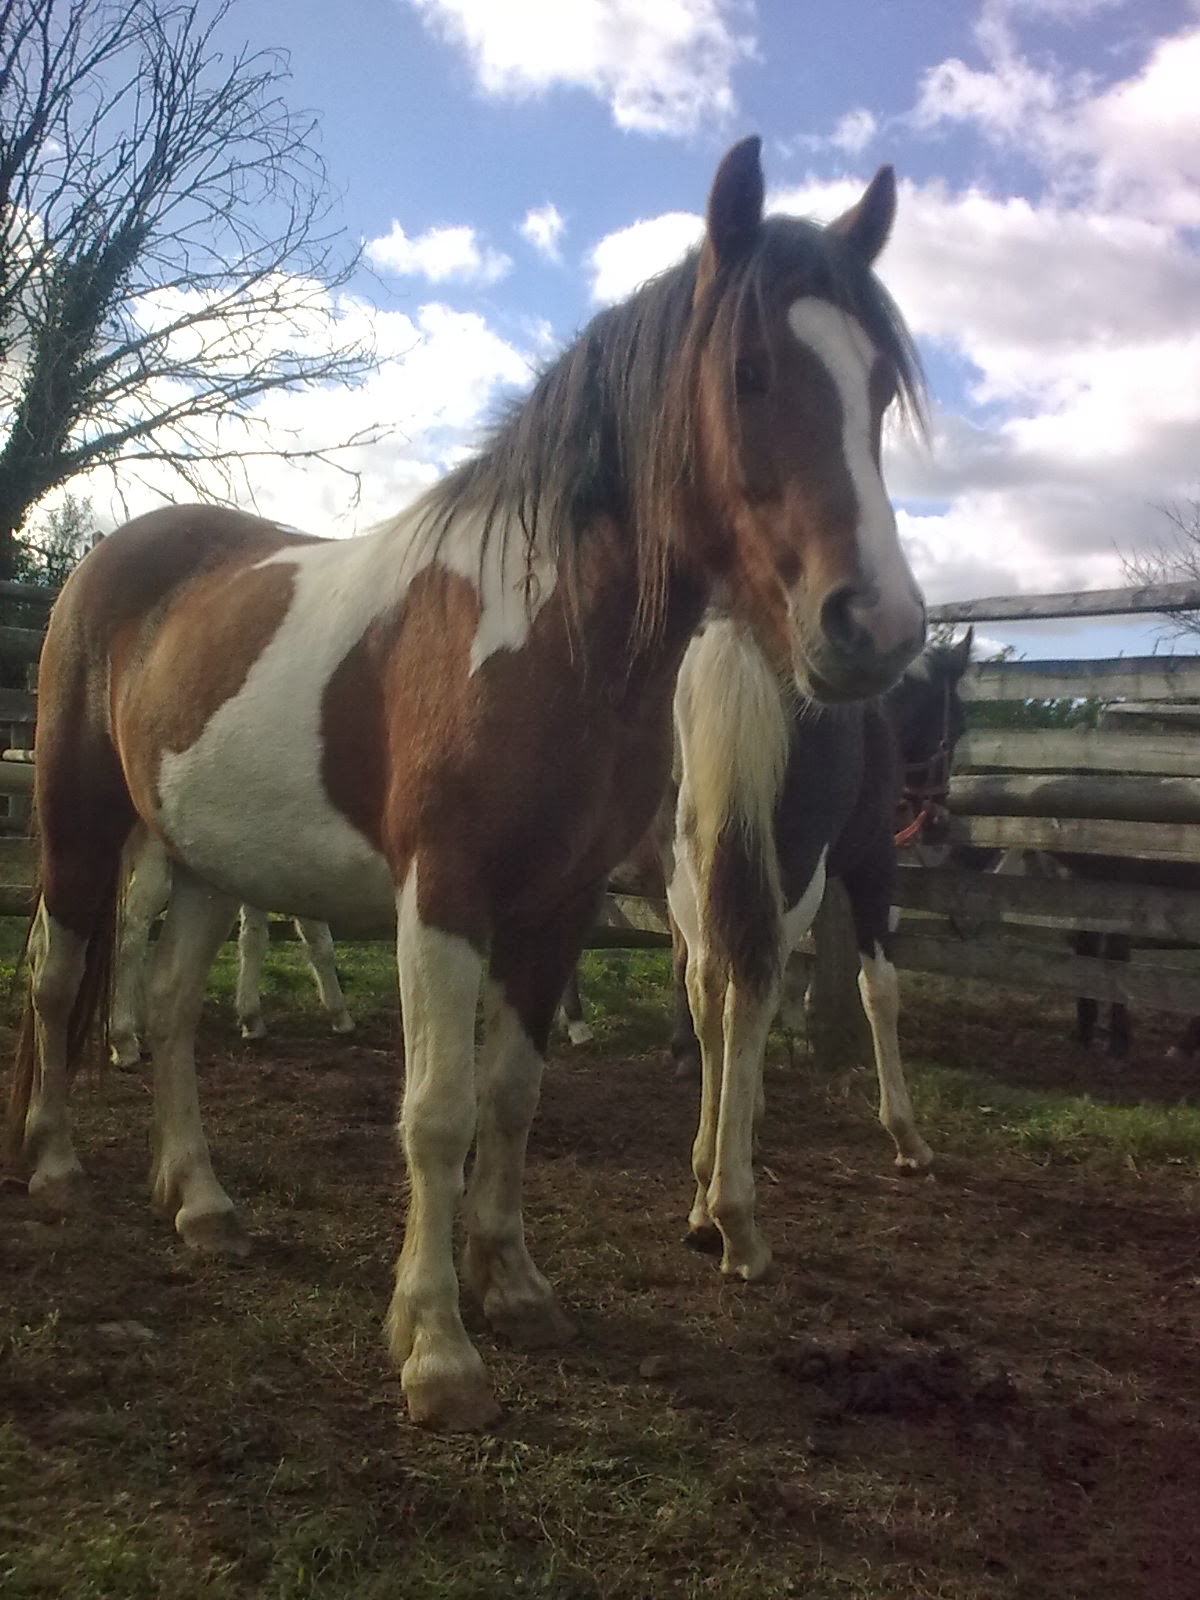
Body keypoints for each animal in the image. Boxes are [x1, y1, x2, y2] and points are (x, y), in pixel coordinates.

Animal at [109, 826, 353, 1067]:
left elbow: (253, 939)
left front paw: (251, 1018)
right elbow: (319, 943)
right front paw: (340, 1015)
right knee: (130, 937)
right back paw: (124, 1040)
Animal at [667, 627, 970, 1281]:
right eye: (954, 722)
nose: (938, 819)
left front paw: (748, 1118)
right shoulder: (870, 861)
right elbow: (878, 990)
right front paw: (907, 1139)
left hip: (695, 872)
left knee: (708, 993)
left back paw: (704, 1197)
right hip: (793, 868)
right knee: (747, 996)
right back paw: (737, 1225)